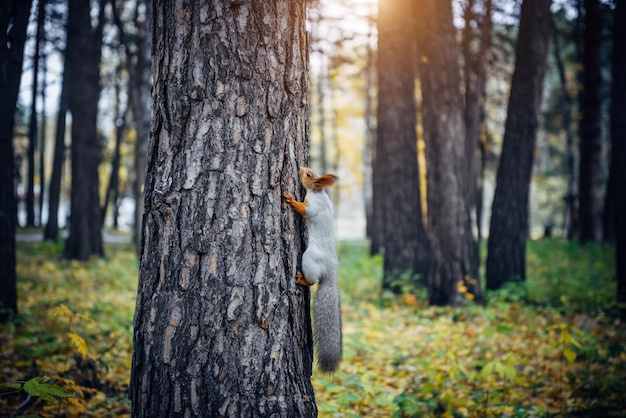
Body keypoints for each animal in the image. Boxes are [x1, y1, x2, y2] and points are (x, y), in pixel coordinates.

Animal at [282, 167, 342, 372]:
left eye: (308, 175)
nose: (300, 169)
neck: (319, 192)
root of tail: (332, 271)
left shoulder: (313, 206)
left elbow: (304, 210)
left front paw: (290, 199)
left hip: (309, 258)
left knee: (312, 280)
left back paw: (302, 279)